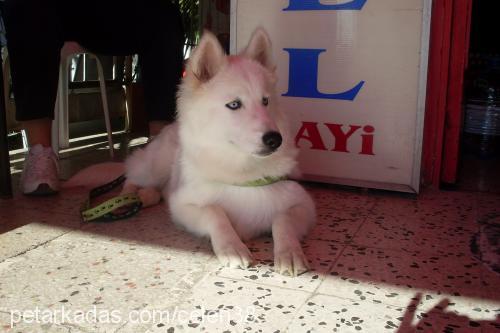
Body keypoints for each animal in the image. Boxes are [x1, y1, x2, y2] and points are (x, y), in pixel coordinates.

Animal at [122, 27, 314, 274]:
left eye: (265, 101)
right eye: (234, 104)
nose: (275, 140)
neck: (241, 170)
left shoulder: (303, 203)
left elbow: (283, 220)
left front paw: (289, 252)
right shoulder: (183, 205)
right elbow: (215, 213)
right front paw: (232, 247)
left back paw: (147, 196)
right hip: (156, 166)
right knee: (132, 173)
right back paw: (128, 197)